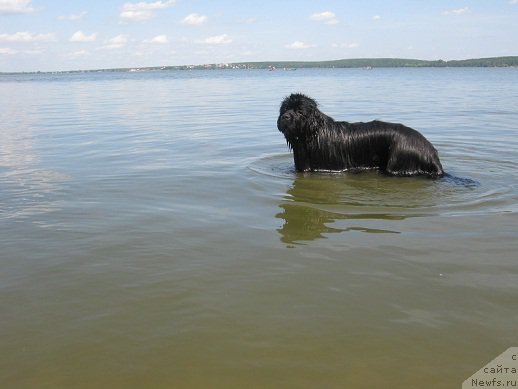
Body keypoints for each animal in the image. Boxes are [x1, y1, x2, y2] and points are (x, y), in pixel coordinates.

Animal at [278, 93, 444, 178]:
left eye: (300, 111)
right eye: (284, 109)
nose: (285, 117)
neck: (312, 135)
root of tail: (430, 152)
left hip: (398, 160)